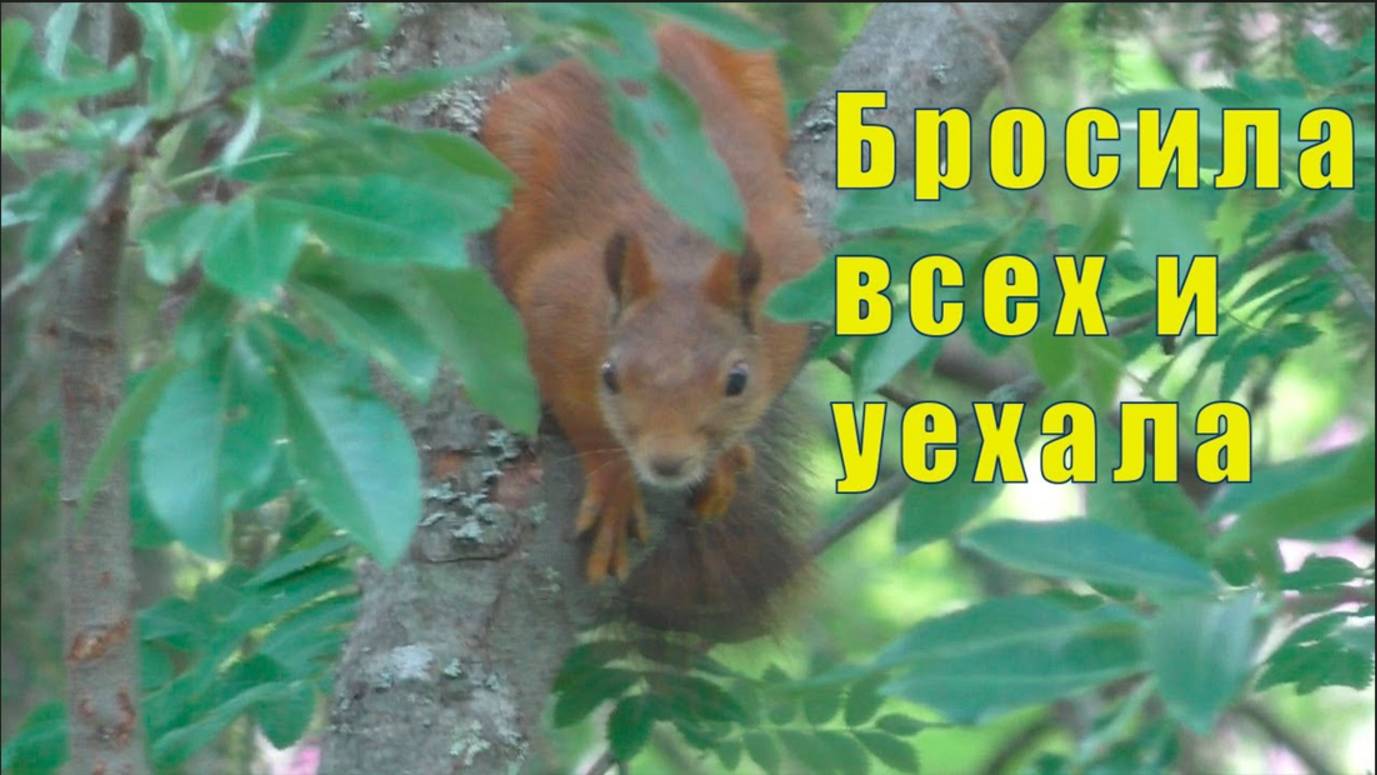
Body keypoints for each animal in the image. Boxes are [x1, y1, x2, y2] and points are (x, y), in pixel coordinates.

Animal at [482, 24, 819, 639]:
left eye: (738, 381)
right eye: (610, 377)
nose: (667, 462)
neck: (681, 256)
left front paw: (725, 458)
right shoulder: (553, 312)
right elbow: (582, 419)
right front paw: (616, 483)